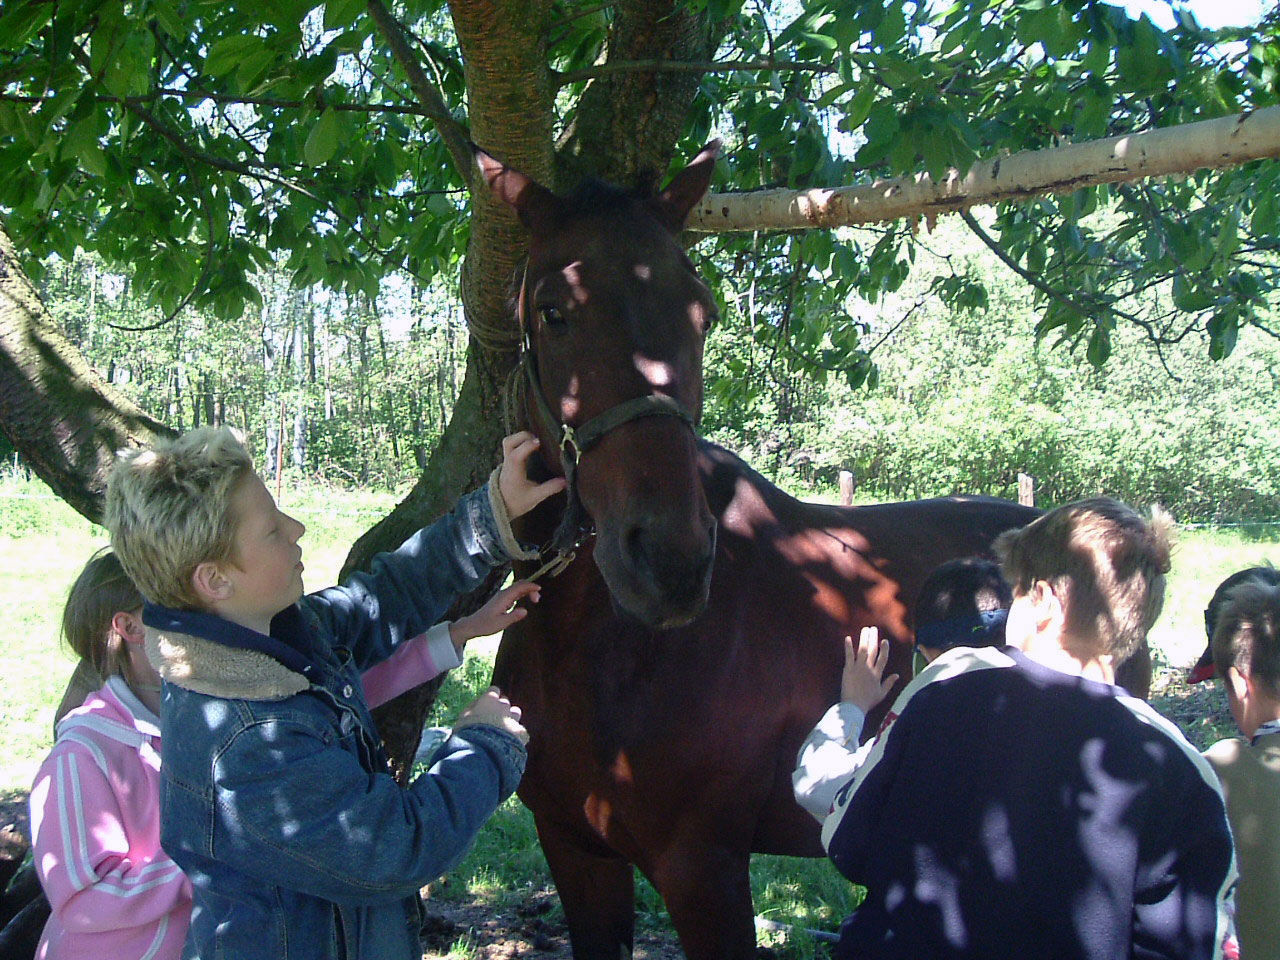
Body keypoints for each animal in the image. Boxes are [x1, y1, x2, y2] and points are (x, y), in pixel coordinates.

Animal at [476, 144, 1044, 960]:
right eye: (553, 312)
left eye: (702, 314)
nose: (671, 564)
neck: (598, 652)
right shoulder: (576, 853)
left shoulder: (703, 870)